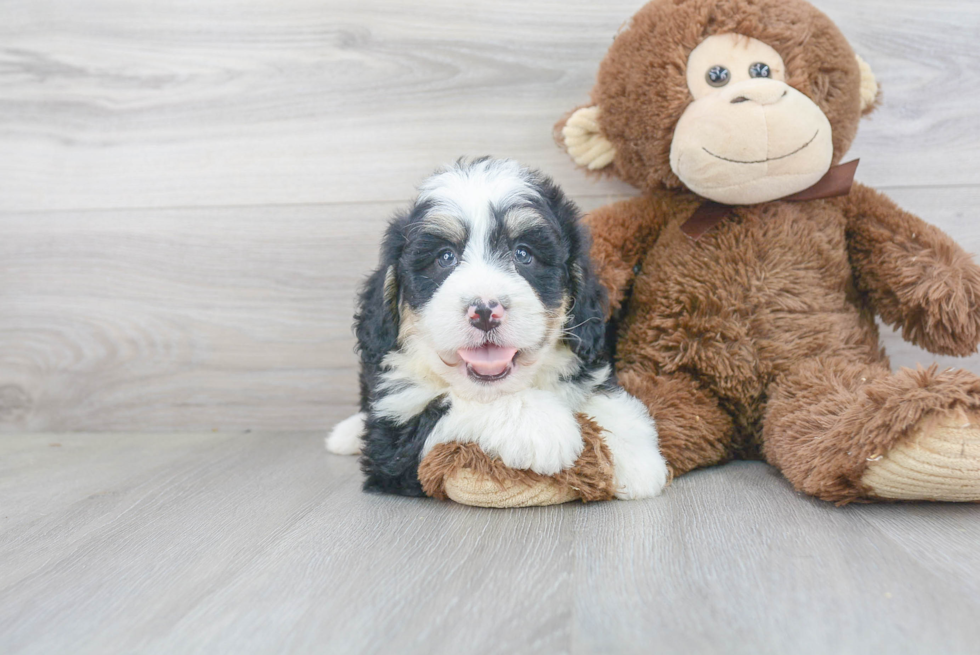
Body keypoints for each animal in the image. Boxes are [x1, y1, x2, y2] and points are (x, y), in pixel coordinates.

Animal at [328, 161, 668, 500]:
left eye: (523, 254)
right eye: (445, 257)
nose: (484, 312)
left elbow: (600, 394)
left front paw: (634, 456)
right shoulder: (391, 440)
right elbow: (451, 405)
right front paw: (542, 425)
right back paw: (346, 433)